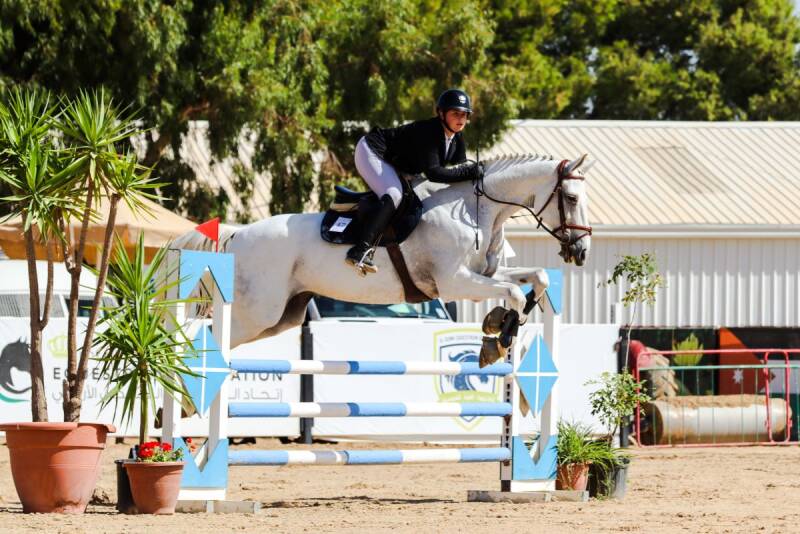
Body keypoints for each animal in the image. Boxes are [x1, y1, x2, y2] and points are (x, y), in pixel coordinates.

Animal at [173, 153, 593, 353]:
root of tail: (239, 234)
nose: (582, 251)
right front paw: (500, 335)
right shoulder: (454, 283)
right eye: (572, 199)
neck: (475, 208)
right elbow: (512, 292)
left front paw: (503, 322)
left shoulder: (482, 276)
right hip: (256, 312)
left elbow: (534, 278)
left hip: (282, 317)